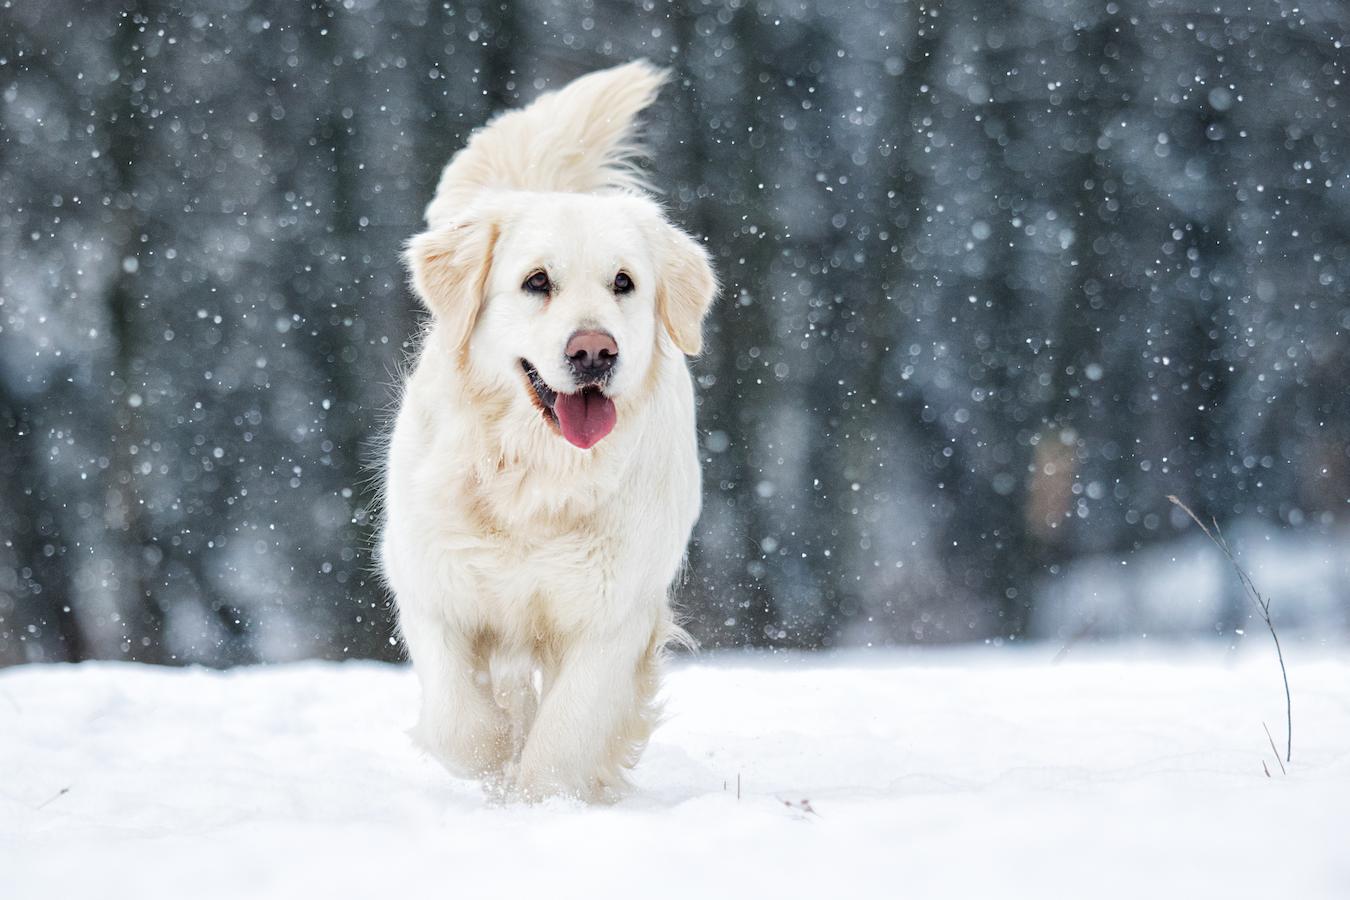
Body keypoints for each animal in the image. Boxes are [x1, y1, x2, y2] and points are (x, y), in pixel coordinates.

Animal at [380, 63, 718, 804]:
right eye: (537, 282)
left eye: (624, 283)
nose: (594, 352)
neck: (535, 475)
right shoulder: (433, 586)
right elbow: (462, 723)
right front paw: (495, 773)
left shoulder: (613, 616)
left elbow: (565, 735)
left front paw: (545, 799)